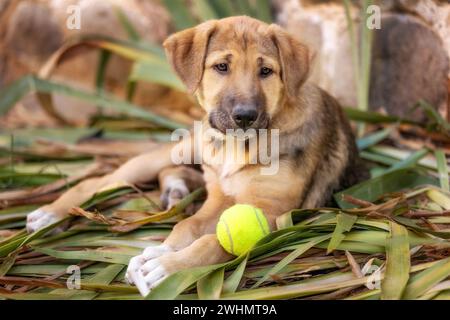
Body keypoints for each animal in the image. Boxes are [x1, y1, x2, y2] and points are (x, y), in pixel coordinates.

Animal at [25, 15, 366, 296]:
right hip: (177, 150)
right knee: (100, 180)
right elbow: (187, 227)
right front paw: (165, 253)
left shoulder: (273, 213)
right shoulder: (219, 197)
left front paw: (167, 265)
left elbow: (212, 239)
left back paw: (175, 192)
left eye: (266, 71)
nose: (245, 116)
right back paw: (51, 214)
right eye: (221, 67)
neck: (239, 146)